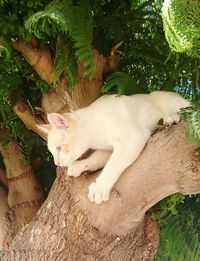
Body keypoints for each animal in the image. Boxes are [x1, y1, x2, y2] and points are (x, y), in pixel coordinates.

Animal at [38, 91, 190, 203]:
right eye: (52, 152)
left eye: (58, 148)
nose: (56, 163)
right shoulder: (108, 149)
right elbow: (95, 159)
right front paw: (78, 166)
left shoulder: (132, 137)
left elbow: (112, 165)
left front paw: (100, 187)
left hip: (166, 100)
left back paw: (170, 118)